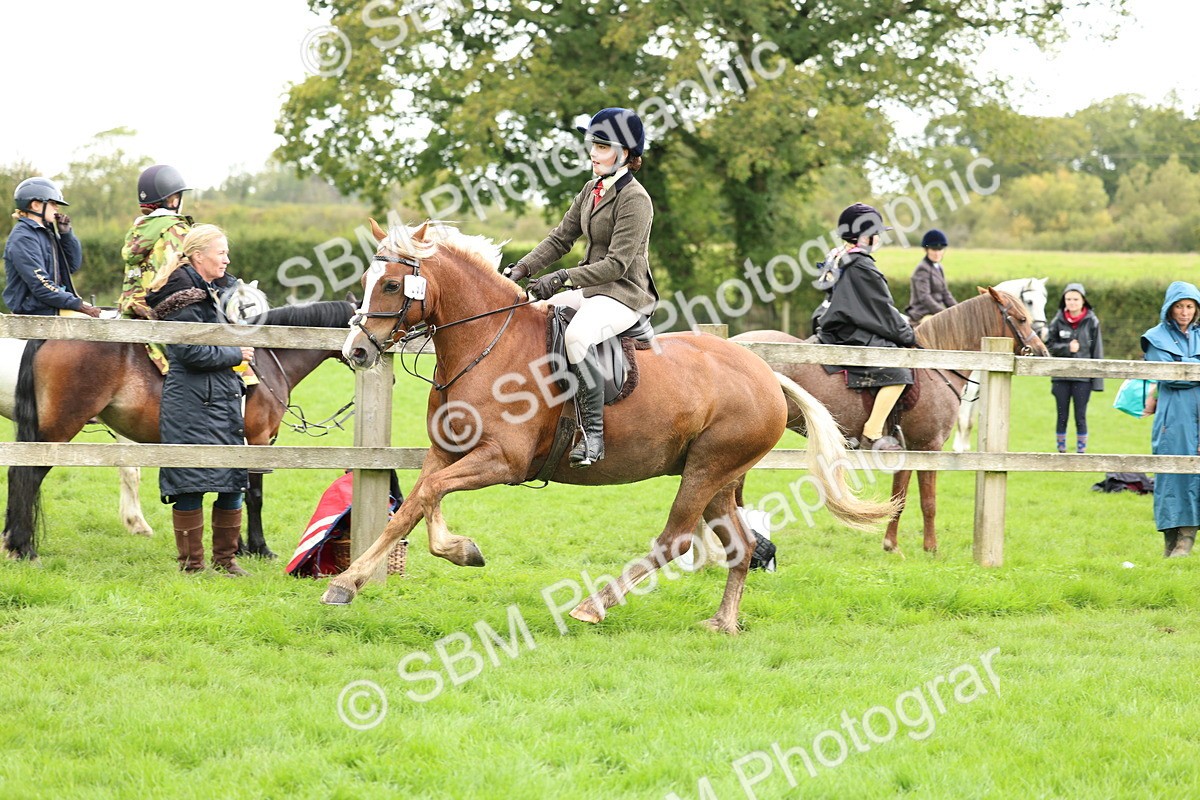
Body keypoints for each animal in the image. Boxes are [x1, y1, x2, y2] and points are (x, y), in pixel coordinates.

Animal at [320, 220, 895, 633]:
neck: (486, 344)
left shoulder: (502, 462)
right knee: (742, 545)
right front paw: (361, 579)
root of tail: (767, 373)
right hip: (720, 476)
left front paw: (414, 562)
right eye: (366, 283)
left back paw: (594, 606)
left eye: (391, 284)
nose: (356, 352)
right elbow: (417, 504)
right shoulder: (446, 452)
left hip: (707, 470)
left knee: (676, 541)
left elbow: (426, 496)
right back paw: (723, 623)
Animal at [952, 278, 1048, 452]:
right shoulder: (967, 393)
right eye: (1030, 302)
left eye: (1044, 301)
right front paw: (958, 449)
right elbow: (963, 420)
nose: (1043, 332)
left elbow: (969, 422)